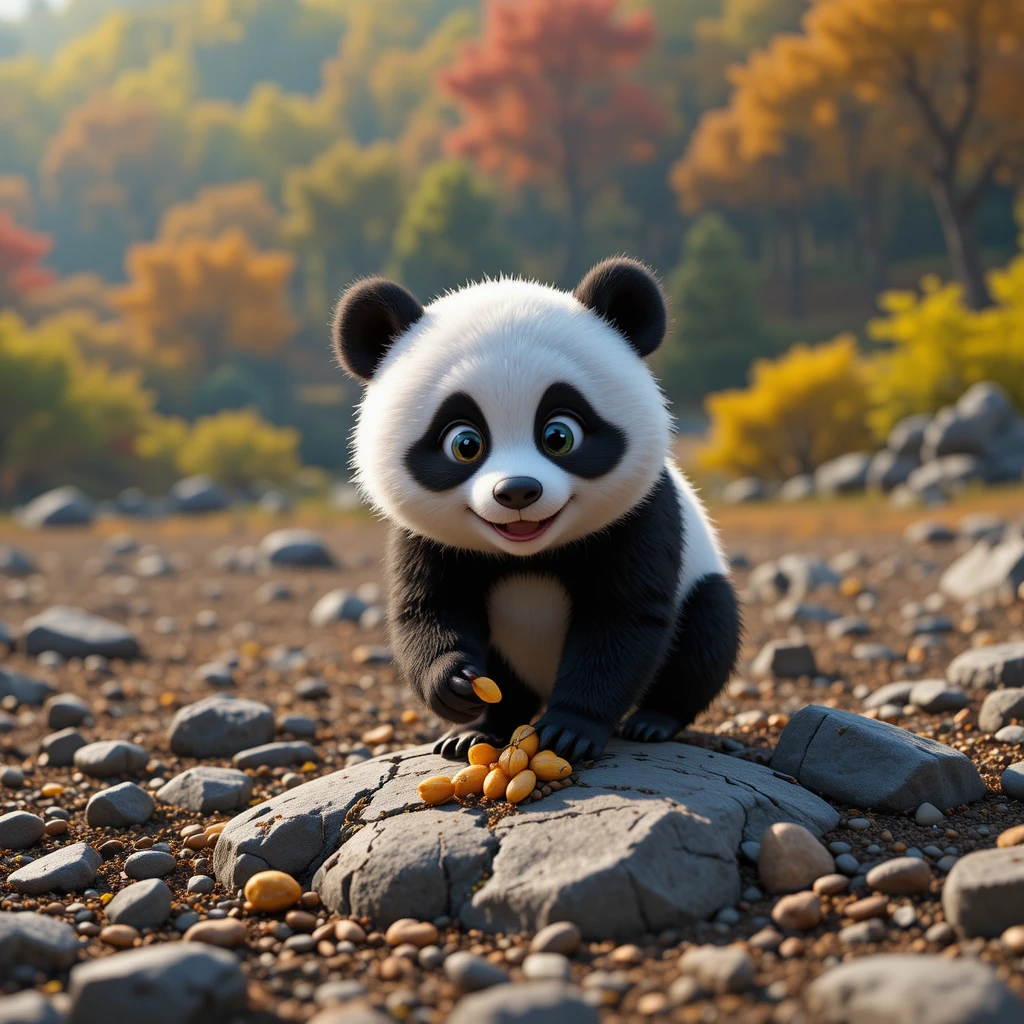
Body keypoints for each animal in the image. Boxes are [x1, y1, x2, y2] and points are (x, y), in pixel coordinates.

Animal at [333, 257, 741, 762]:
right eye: (465, 444)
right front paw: (453, 684)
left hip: (700, 587)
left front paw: (569, 731)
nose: (517, 491)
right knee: (510, 689)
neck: (529, 554)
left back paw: (653, 721)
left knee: (708, 629)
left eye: (559, 436)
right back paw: (481, 731)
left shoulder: (643, 515)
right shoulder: (424, 538)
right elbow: (429, 607)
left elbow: (622, 618)